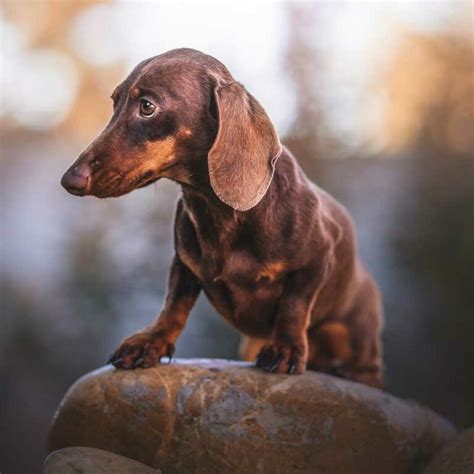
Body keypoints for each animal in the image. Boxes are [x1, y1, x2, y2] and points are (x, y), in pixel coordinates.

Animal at [61, 48, 384, 386]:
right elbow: (174, 303)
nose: (70, 180)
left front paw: (285, 348)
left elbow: (294, 306)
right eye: (115, 102)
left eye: (147, 106)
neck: (220, 214)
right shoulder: (183, 264)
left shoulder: (317, 259)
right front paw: (151, 341)